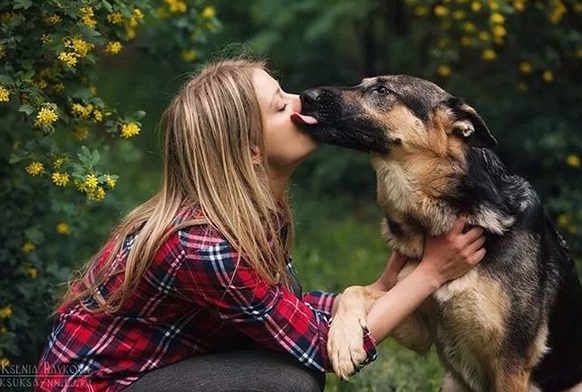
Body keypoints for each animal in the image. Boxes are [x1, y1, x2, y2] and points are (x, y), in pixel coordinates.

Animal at [294, 75, 582, 390]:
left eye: (382, 90)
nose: (305, 95)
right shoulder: (418, 323)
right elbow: (353, 290)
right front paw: (343, 342)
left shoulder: (511, 363)